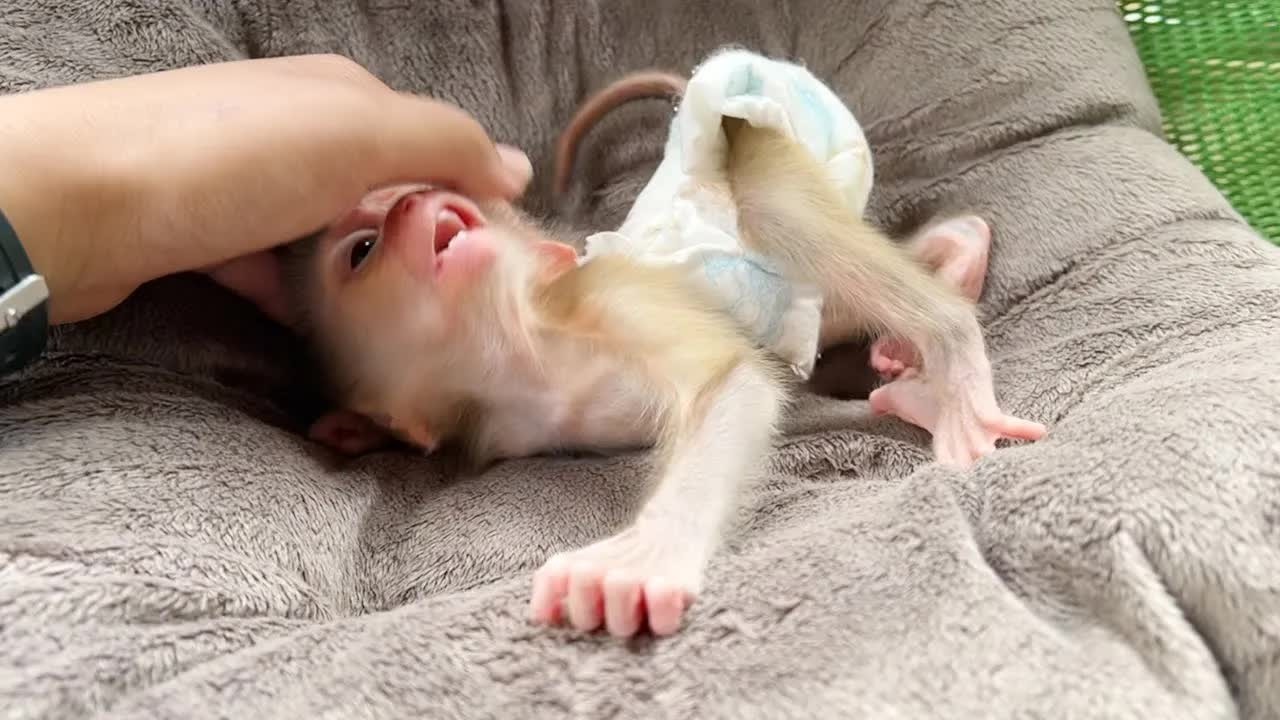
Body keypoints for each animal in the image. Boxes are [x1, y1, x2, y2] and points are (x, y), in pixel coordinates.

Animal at [278, 73, 1044, 639]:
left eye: (379, 229)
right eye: (362, 250)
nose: (413, 200)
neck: (520, 361)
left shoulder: (605, 295)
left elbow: (732, 383)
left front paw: (643, 558)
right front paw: (353, 432)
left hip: (770, 132)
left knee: (773, 207)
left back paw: (952, 341)